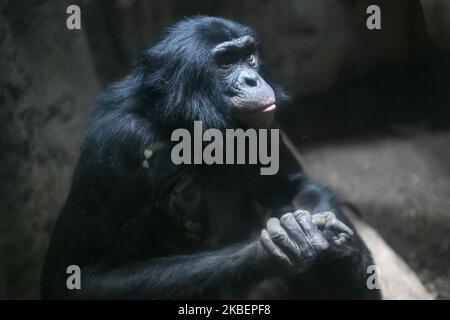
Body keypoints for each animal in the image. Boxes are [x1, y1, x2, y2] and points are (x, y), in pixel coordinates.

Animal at [41, 15, 380, 300]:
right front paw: (274, 249)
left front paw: (342, 257)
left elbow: (295, 187)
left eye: (248, 55)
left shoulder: (265, 125)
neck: (182, 120)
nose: (252, 79)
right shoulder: (114, 145)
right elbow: (86, 278)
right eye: (225, 61)